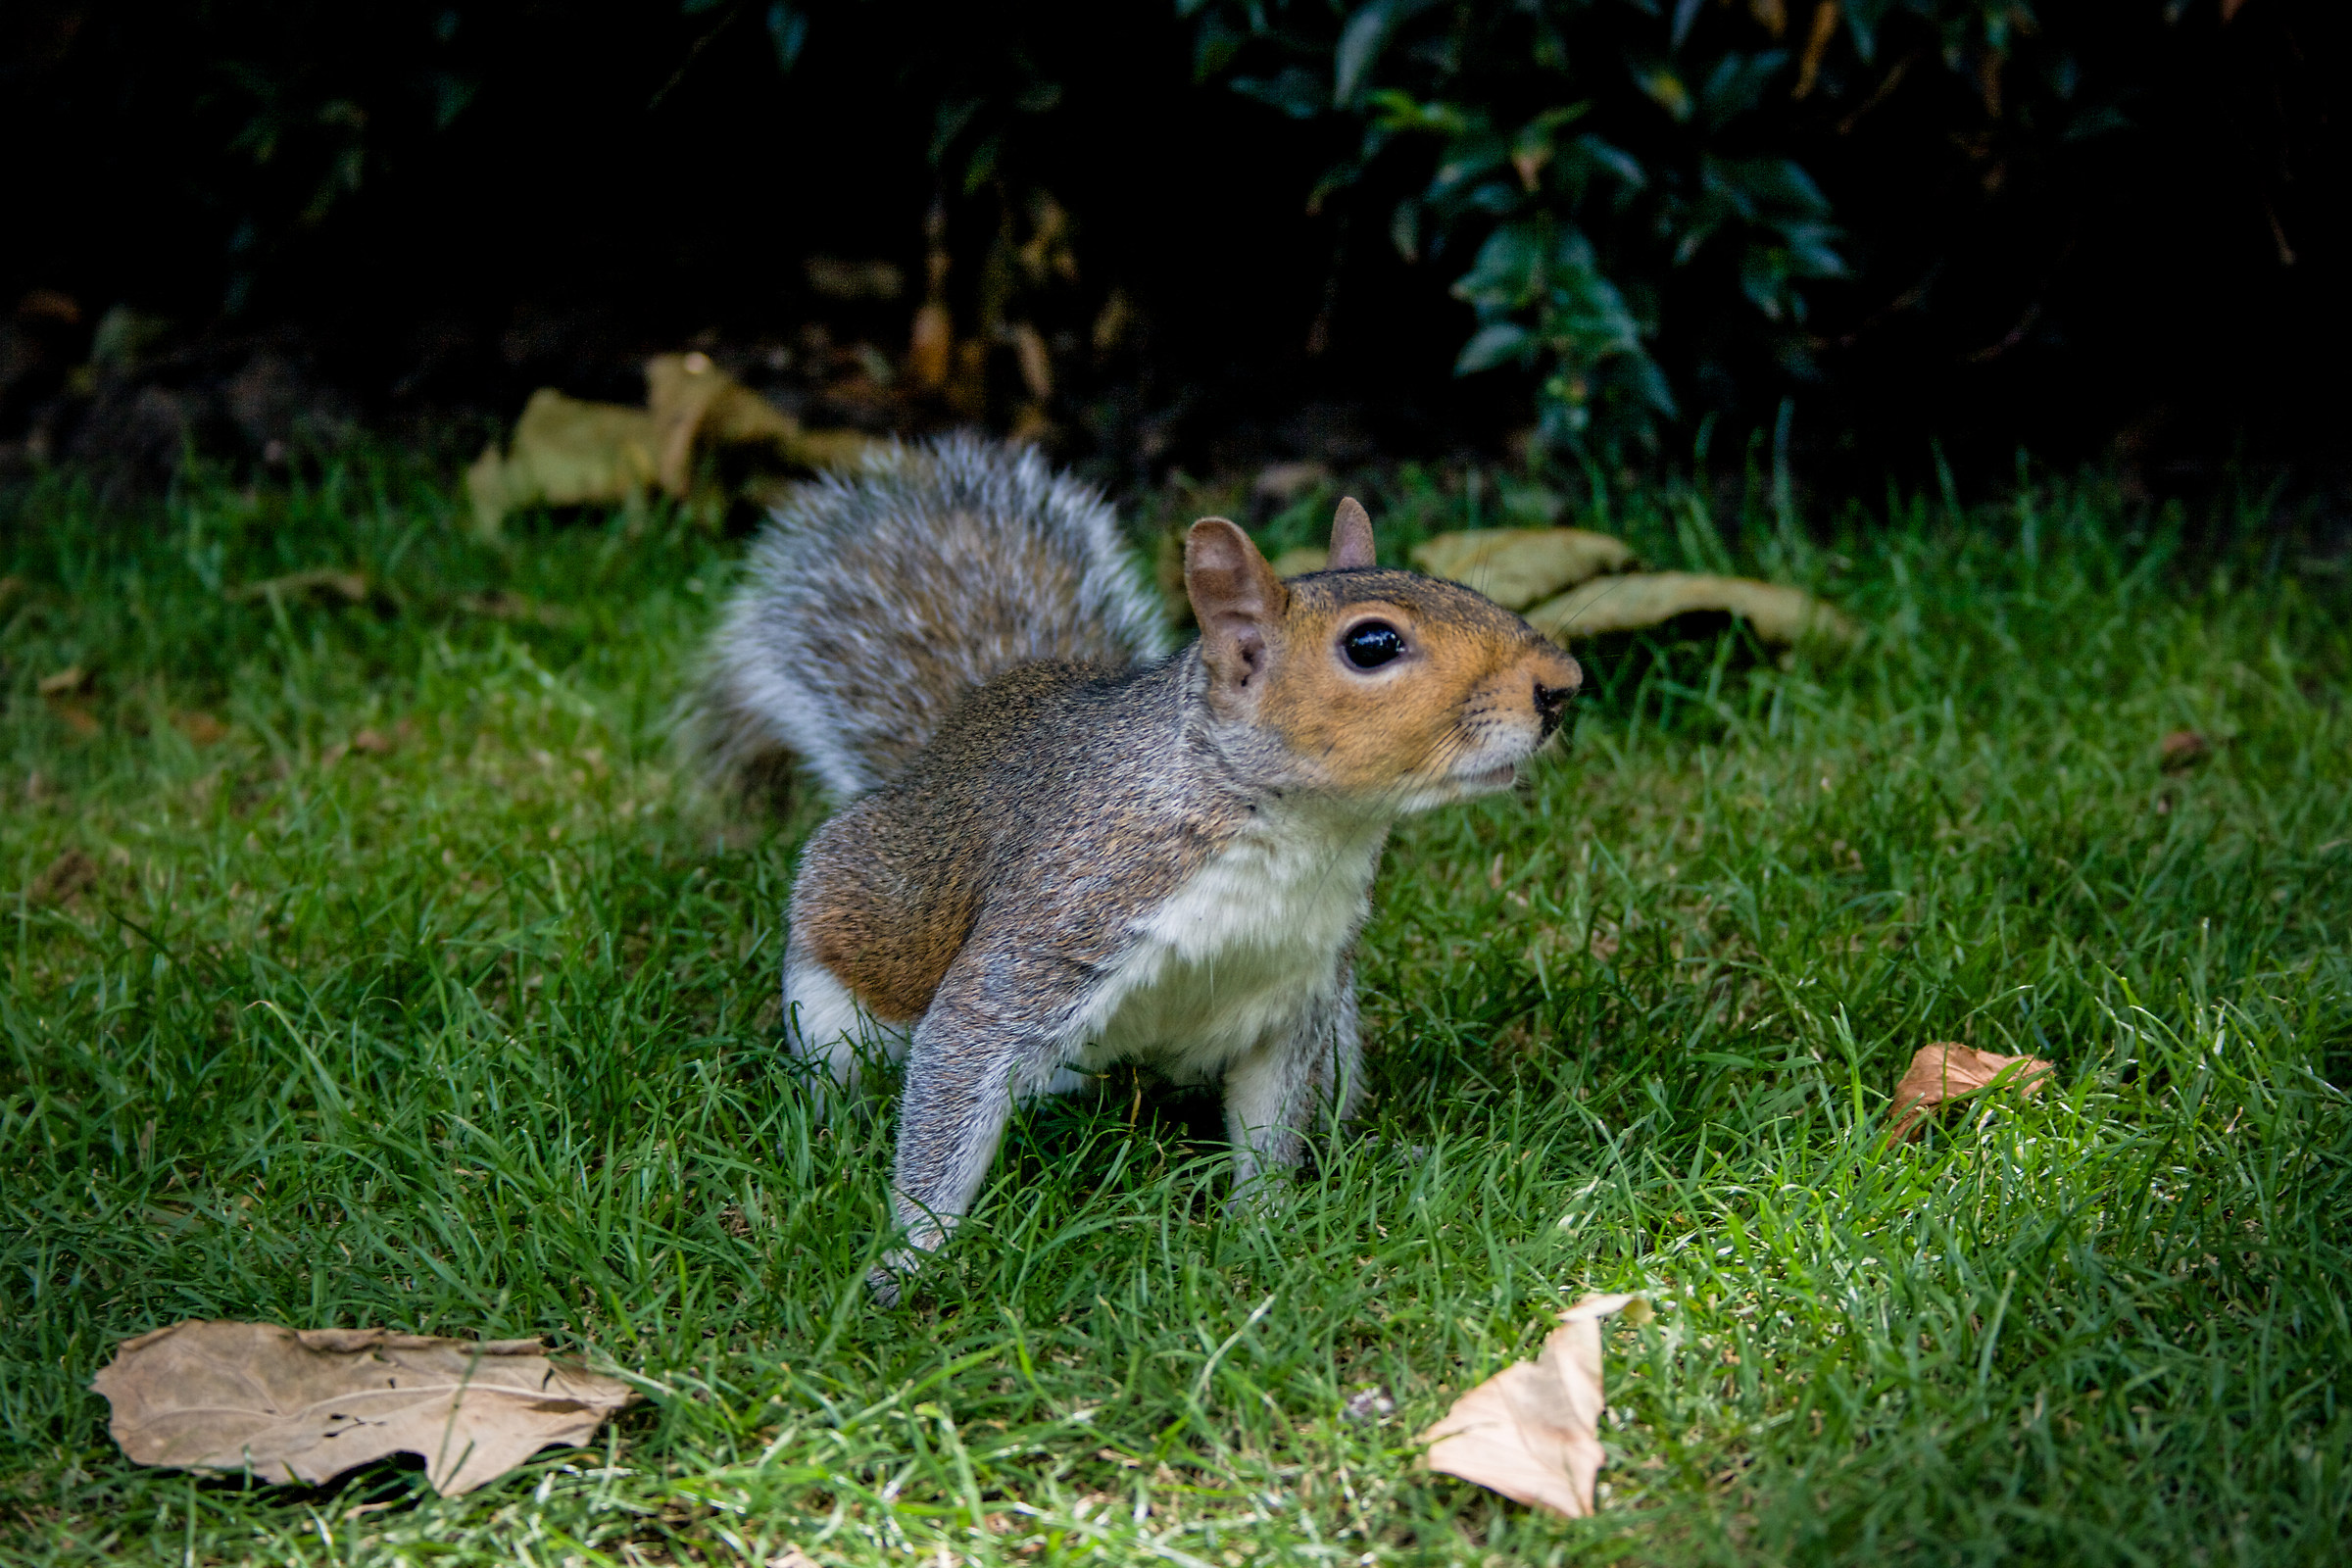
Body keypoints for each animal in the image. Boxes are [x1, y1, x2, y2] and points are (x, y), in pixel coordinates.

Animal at [694, 435, 1581, 1301]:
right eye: (1372, 644)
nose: (1563, 685)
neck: (1295, 831)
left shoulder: (1295, 996)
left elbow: (1269, 1121)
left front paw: (1261, 1228)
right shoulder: (1057, 922)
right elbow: (960, 1060)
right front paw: (911, 1254)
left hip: (1339, 1031)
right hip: (834, 999)